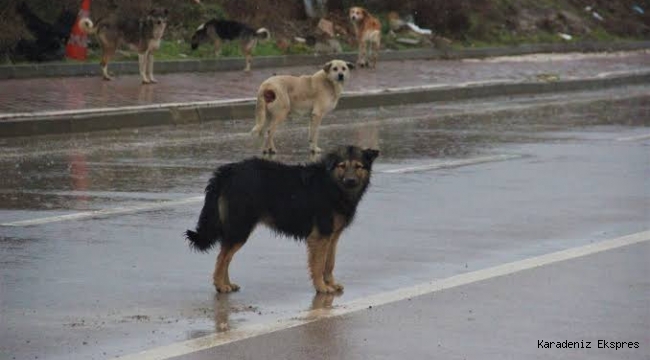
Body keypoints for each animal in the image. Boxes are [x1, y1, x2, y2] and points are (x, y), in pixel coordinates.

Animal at [185, 145, 378, 294]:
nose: (350, 180)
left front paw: (330, 283)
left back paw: (227, 284)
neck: (331, 185)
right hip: (241, 228)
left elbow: (329, 263)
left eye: (359, 166)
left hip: (238, 230)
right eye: (342, 166)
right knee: (222, 257)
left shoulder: (332, 236)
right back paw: (220, 285)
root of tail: (227, 172)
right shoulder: (320, 236)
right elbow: (318, 264)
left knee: (226, 257)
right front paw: (321, 287)